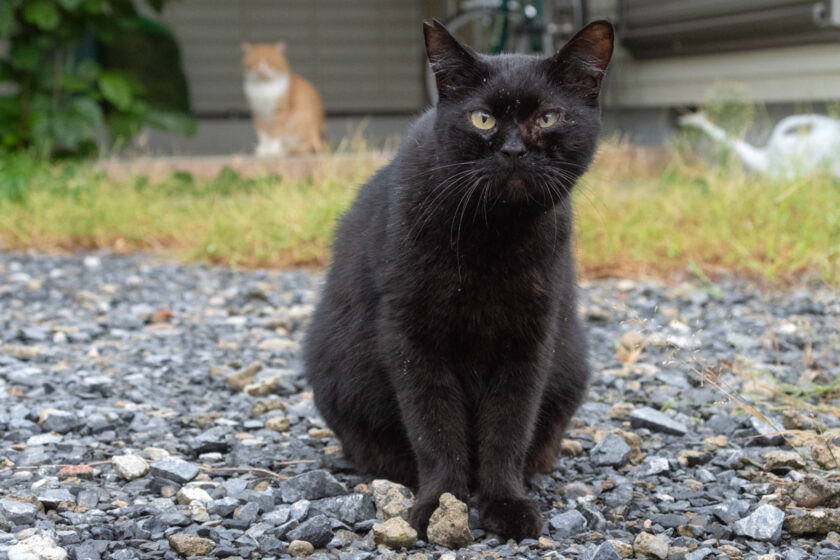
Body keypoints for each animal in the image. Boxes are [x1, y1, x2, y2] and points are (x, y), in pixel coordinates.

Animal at [306, 19, 612, 540]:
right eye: (482, 119)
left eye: (548, 118)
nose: (514, 150)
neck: (492, 237)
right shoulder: (409, 336)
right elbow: (434, 427)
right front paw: (440, 505)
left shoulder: (530, 339)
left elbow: (507, 429)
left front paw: (506, 504)